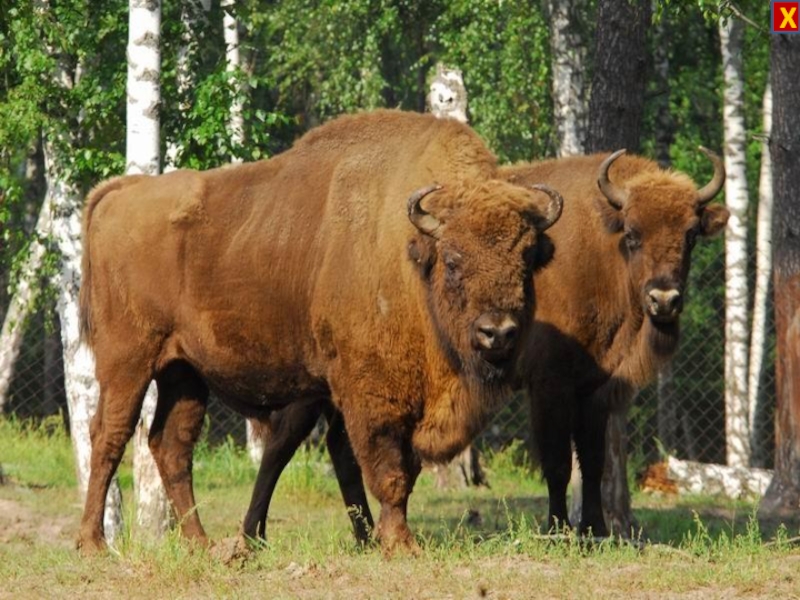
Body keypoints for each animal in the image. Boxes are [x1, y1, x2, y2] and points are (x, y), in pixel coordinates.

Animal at [76, 109, 564, 552]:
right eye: (454, 260)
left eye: (527, 258)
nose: (497, 332)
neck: (411, 256)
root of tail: (121, 191)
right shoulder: (371, 394)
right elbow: (386, 469)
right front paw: (399, 543)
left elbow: (383, 466)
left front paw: (376, 539)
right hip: (128, 359)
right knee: (108, 434)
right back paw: (93, 543)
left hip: (184, 373)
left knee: (172, 446)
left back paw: (200, 543)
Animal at [506, 149, 732, 536]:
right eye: (632, 233)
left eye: (690, 235)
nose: (664, 300)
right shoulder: (549, 384)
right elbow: (558, 463)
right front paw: (556, 529)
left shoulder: (595, 387)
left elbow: (594, 463)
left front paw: (596, 529)